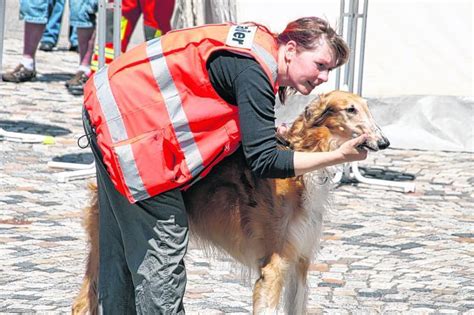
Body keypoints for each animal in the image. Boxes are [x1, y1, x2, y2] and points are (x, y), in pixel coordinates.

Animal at [71, 90, 388, 314]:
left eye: (368, 107)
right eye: (350, 109)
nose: (384, 142)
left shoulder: (300, 262)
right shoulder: (273, 266)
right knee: (82, 303)